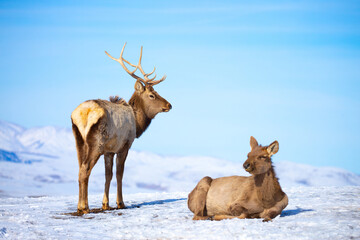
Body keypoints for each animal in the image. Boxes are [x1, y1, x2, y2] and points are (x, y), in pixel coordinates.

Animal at [71, 43, 172, 214]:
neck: (138, 124)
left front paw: (105, 204)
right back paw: (84, 207)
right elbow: (119, 174)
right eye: (152, 95)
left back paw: (80, 205)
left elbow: (108, 175)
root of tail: (83, 113)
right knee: (85, 169)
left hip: (79, 140)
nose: (169, 105)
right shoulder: (124, 145)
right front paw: (120, 202)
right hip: (96, 142)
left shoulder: (109, 150)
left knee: (79, 169)